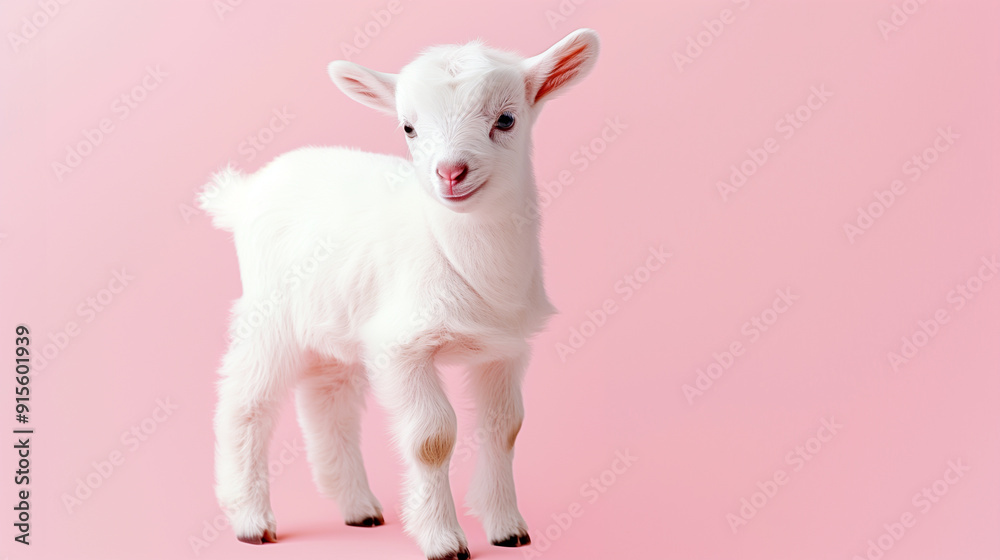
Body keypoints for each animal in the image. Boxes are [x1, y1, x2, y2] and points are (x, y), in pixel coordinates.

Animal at [199, 28, 600, 560]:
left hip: (336, 319)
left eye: (507, 119)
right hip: (269, 313)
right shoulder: (403, 345)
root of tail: (242, 196)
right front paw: (444, 540)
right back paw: (251, 520)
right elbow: (432, 439)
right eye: (408, 127)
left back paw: (358, 509)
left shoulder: (504, 348)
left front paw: (508, 528)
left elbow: (505, 429)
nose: (450, 172)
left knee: (328, 402)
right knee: (246, 403)